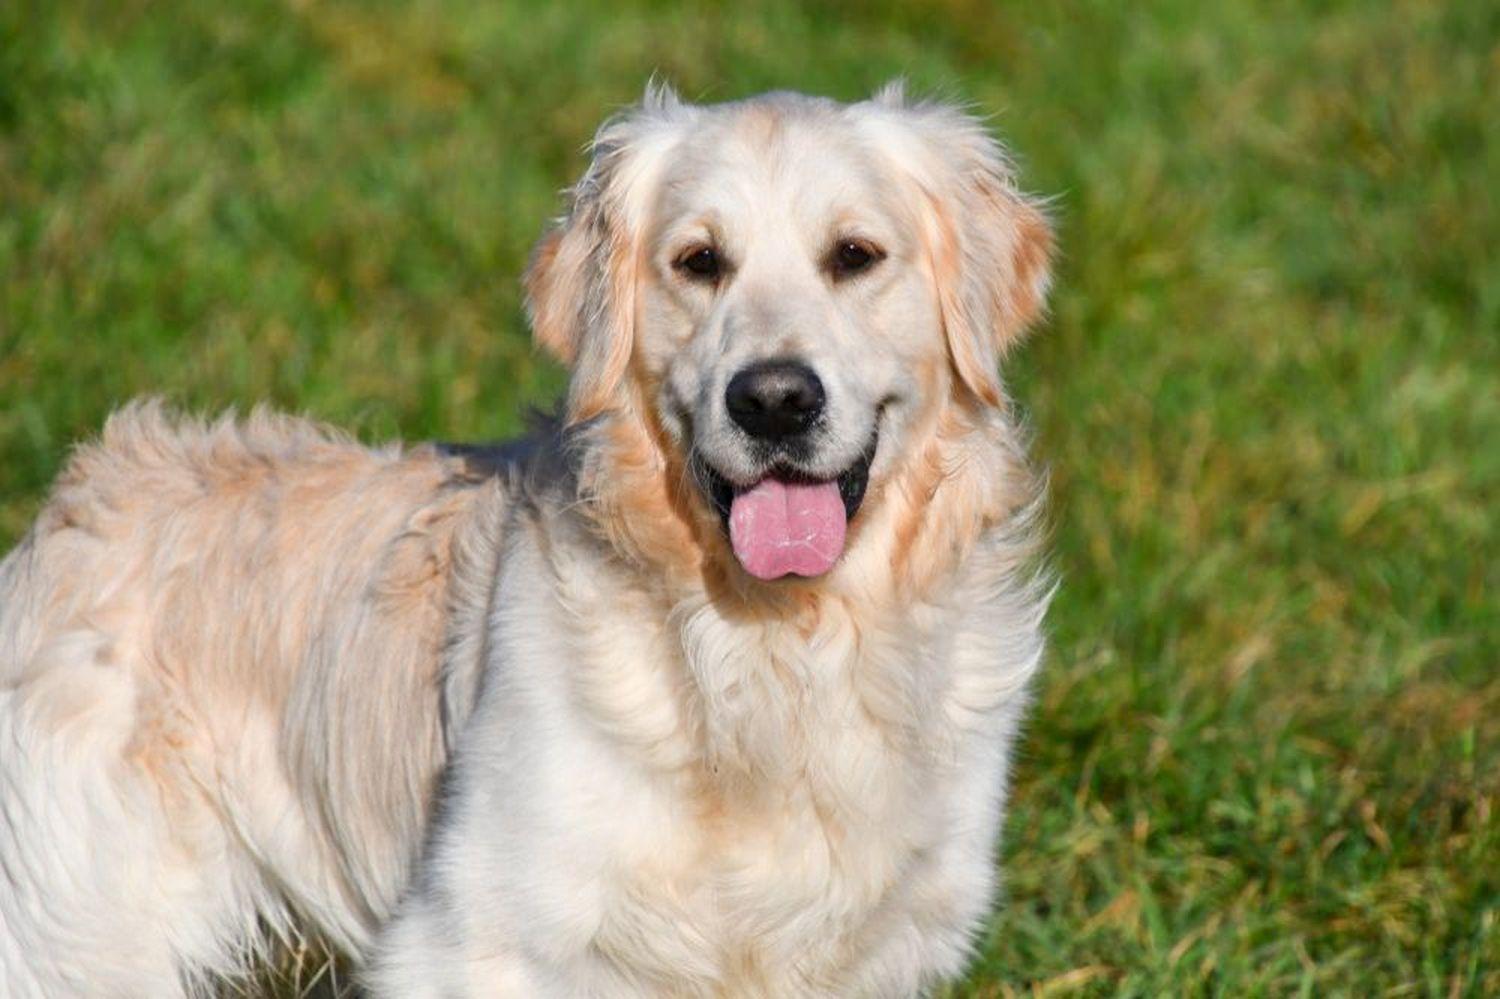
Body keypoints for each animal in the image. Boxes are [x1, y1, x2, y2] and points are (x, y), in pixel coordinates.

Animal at [0, 87, 1056, 996]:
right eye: (699, 261)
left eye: (855, 254)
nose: (773, 400)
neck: (773, 645)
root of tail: (70, 505)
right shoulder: (475, 938)